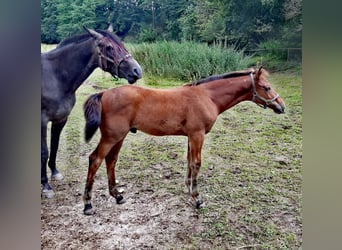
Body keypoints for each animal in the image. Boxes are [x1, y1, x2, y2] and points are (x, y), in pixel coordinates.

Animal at [81, 67, 284, 215]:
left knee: (111, 160)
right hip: (111, 137)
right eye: (266, 87)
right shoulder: (197, 134)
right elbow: (196, 163)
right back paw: (88, 204)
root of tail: (103, 93)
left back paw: (117, 196)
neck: (207, 96)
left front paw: (188, 189)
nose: (281, 106)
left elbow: (189, 161)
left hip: (119, 137)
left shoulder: (191, 136)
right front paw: (197, 198)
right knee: (96, 160)